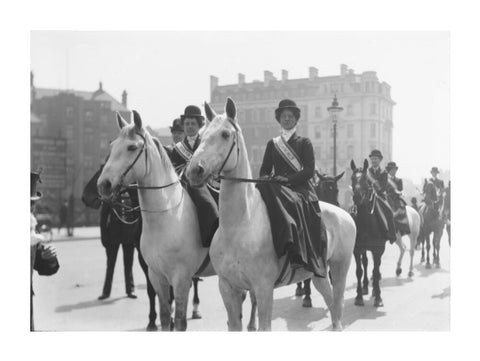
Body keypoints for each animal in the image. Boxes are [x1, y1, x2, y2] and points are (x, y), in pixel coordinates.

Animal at [82, 165, 202, 330]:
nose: (86, 196)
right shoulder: (146, 261)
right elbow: (152, 291)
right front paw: (152, 321)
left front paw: (169, 319)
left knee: (194, 281)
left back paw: (195, 307)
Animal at [97, 111, 219, 330]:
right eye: (112, 146)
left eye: (132, 147)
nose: (103, 184)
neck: (165, 217)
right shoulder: (156, 275)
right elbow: (164, 315)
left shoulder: (181, 278)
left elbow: (179, 321)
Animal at [348, 160, 390, 306]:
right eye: (352, 178)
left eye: (366, 180)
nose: (357, 197)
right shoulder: (356, 249)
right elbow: (359, 271)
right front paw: (359, 296)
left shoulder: (378, 249)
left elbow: (376, 271)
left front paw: (378, 297)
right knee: (365, 263)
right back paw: (365, 287)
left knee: (375, 267)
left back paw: (374, 291)